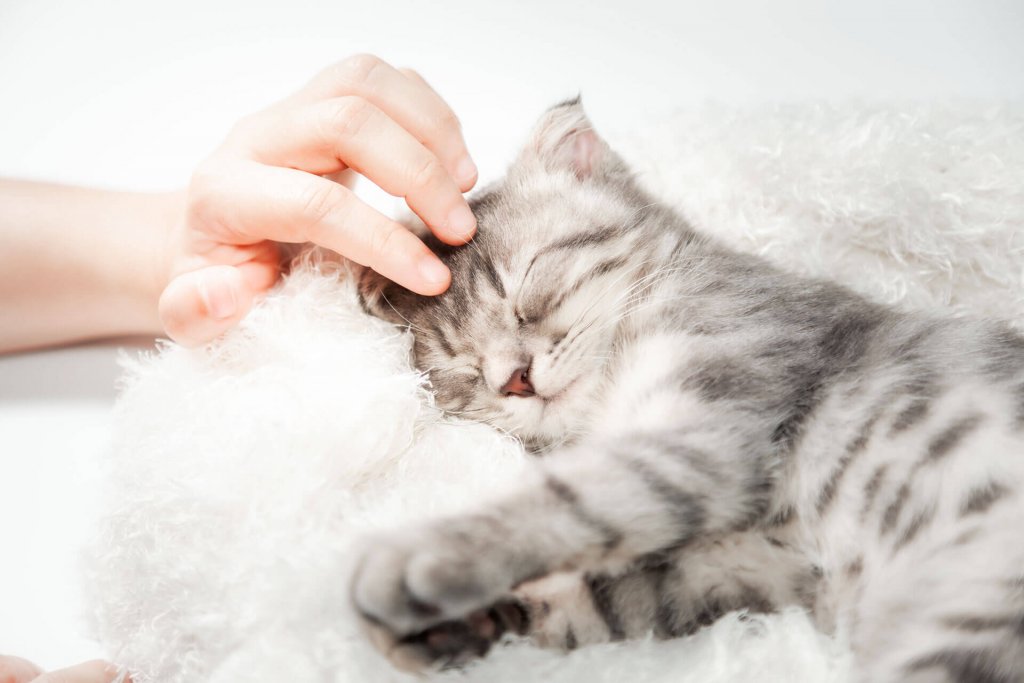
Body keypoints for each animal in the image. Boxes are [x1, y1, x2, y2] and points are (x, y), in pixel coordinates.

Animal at [352, 98, 1024, 679]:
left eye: (525, 288)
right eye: (460, 373)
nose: (512, 379)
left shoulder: (710, 432)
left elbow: (567, 499)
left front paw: (415, 560)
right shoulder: (745, 570)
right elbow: (596, 597)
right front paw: (457, 624)